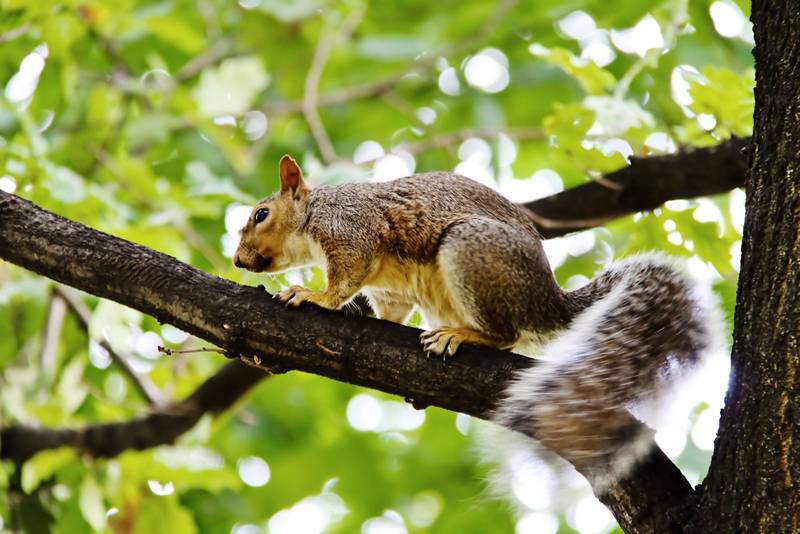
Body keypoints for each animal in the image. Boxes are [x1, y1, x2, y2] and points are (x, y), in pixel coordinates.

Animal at [234, 155, 721, 486]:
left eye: (261, 214)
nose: (237, 260)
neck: (315, 215)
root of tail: (547, 301)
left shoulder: (354, 231)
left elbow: (343, 280)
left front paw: (312, 294)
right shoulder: (390, 289)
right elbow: (390, 309)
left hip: (469, 251)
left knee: (505, 334)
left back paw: (462, 336)